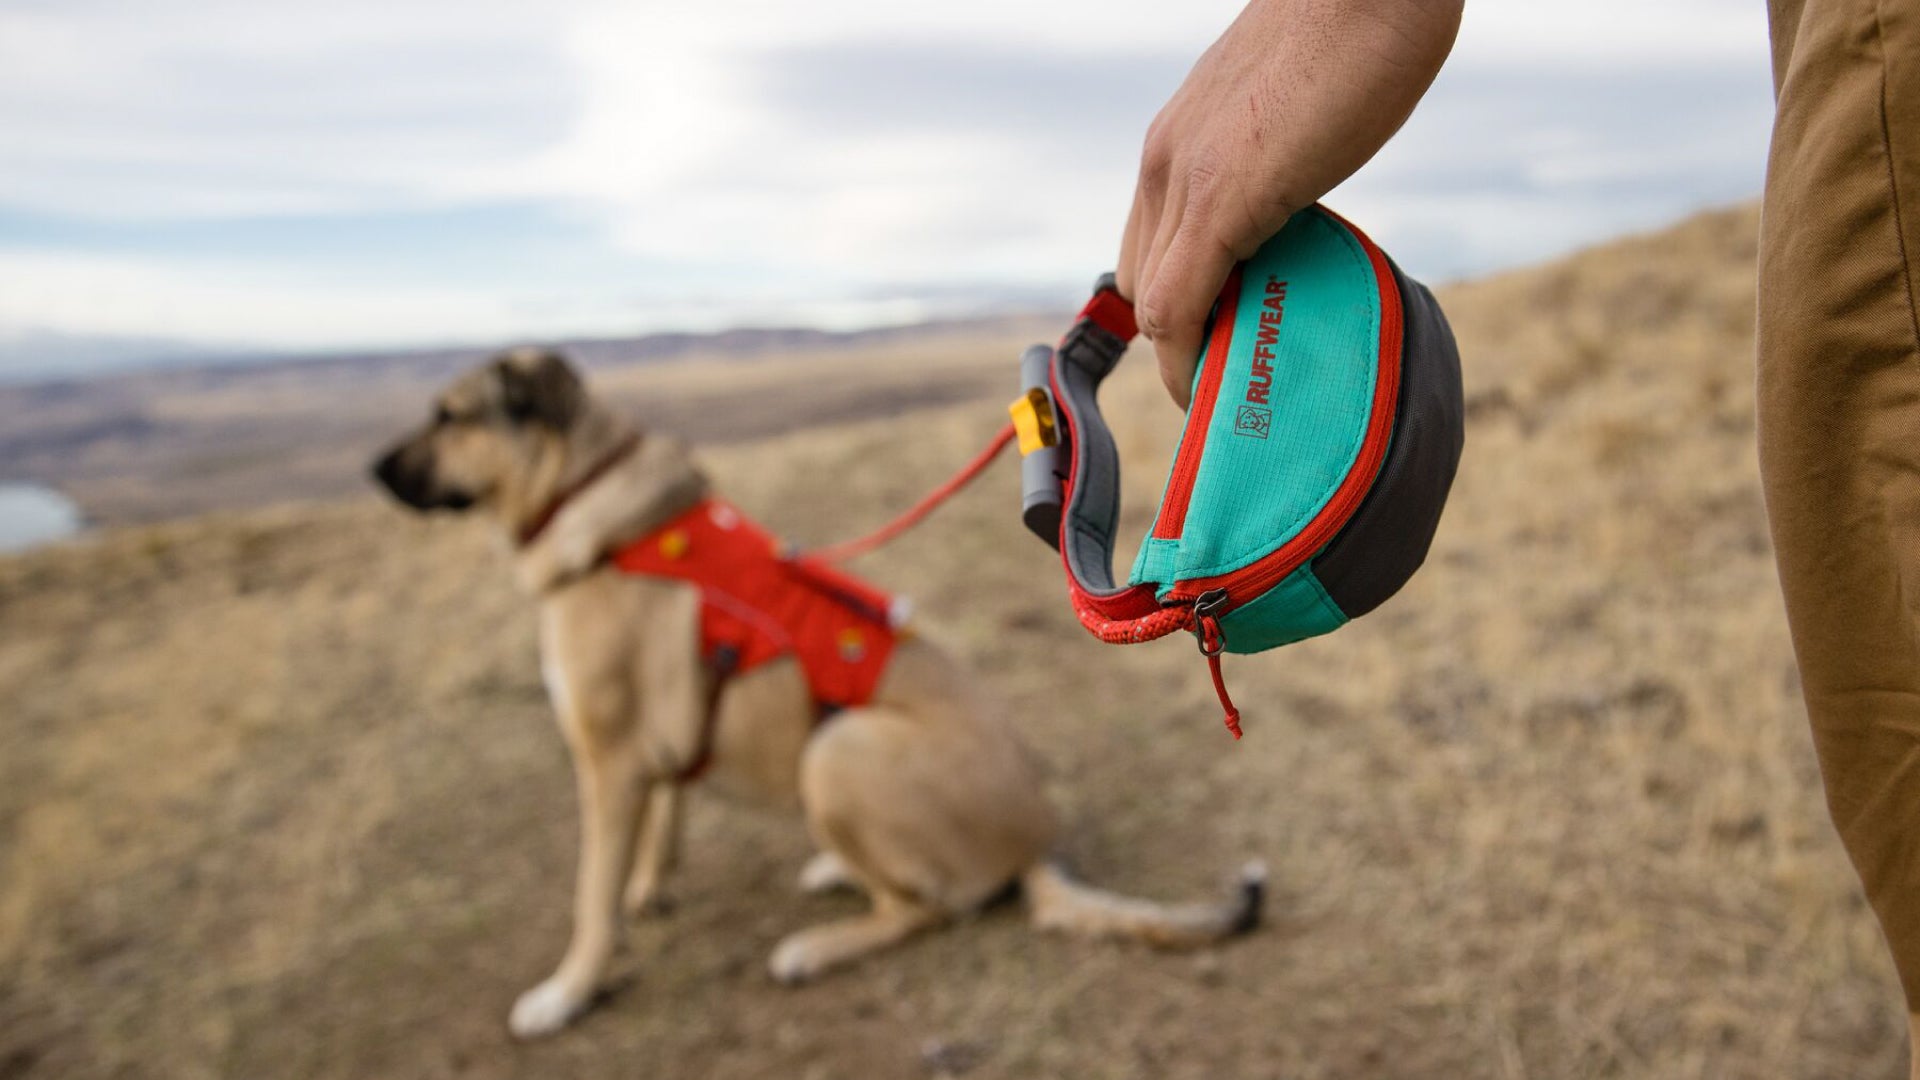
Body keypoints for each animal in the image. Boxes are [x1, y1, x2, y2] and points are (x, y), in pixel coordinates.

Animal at [368, 343, 1259, 1037]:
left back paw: (814, 948)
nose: (372, 471)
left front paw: (566, 993)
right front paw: (650, 890)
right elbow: (663, 823)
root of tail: (1038, 841)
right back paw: (833, 871)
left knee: (924, 909)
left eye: (450, 415)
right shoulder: (653, 752)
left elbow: (592, 899)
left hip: (836, 746)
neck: (586, 494)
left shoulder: (606, 763)